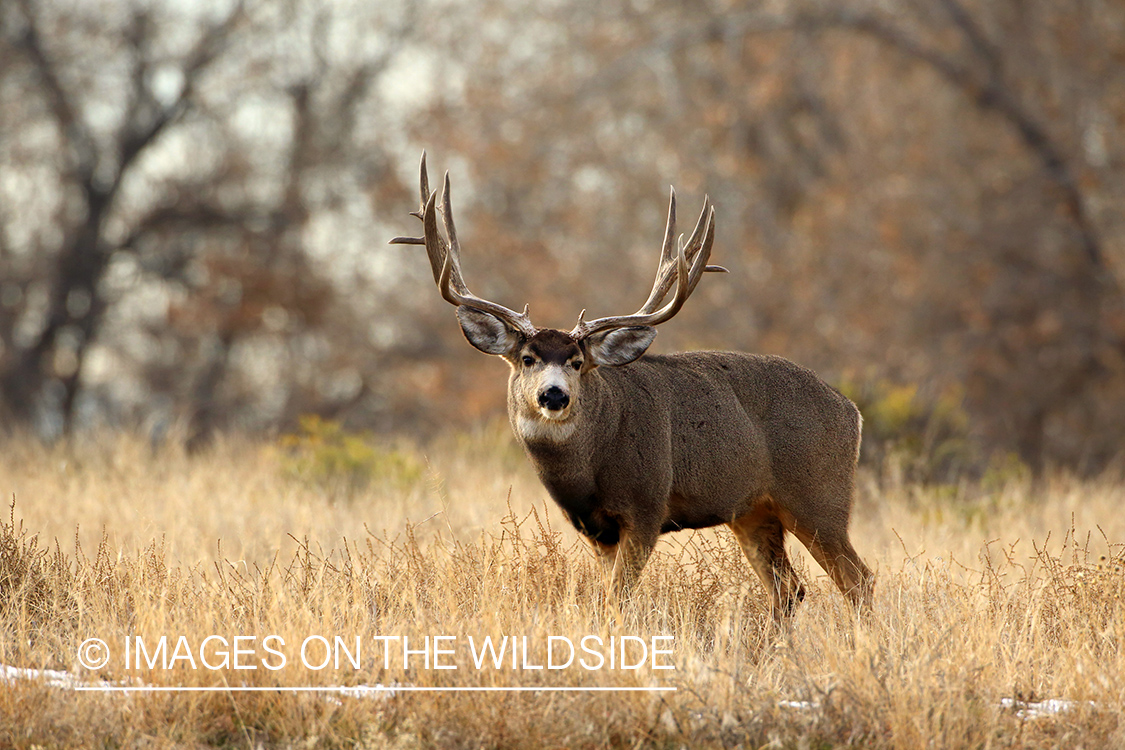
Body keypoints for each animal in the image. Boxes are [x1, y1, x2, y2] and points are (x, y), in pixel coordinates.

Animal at [390, 153, 873, 619]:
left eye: (578, 362)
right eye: (527, 359)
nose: (553, 394)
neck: (588, 469)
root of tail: (851, 410)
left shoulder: (646, 507)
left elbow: (617, 599)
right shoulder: (595, 528)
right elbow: (610, 596)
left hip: (819, 495)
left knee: (858, 581)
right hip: (753, 510)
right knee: (789, 590)